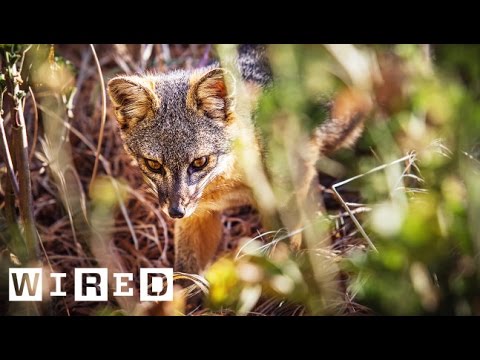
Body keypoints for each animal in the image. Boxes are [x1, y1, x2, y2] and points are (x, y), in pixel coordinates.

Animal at [108, 45, 372, 276]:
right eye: (153, 164)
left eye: (199, 162)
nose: (175, 212)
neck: (230, 186)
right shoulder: (199, 215)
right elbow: (185, 275)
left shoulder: (284, 205)